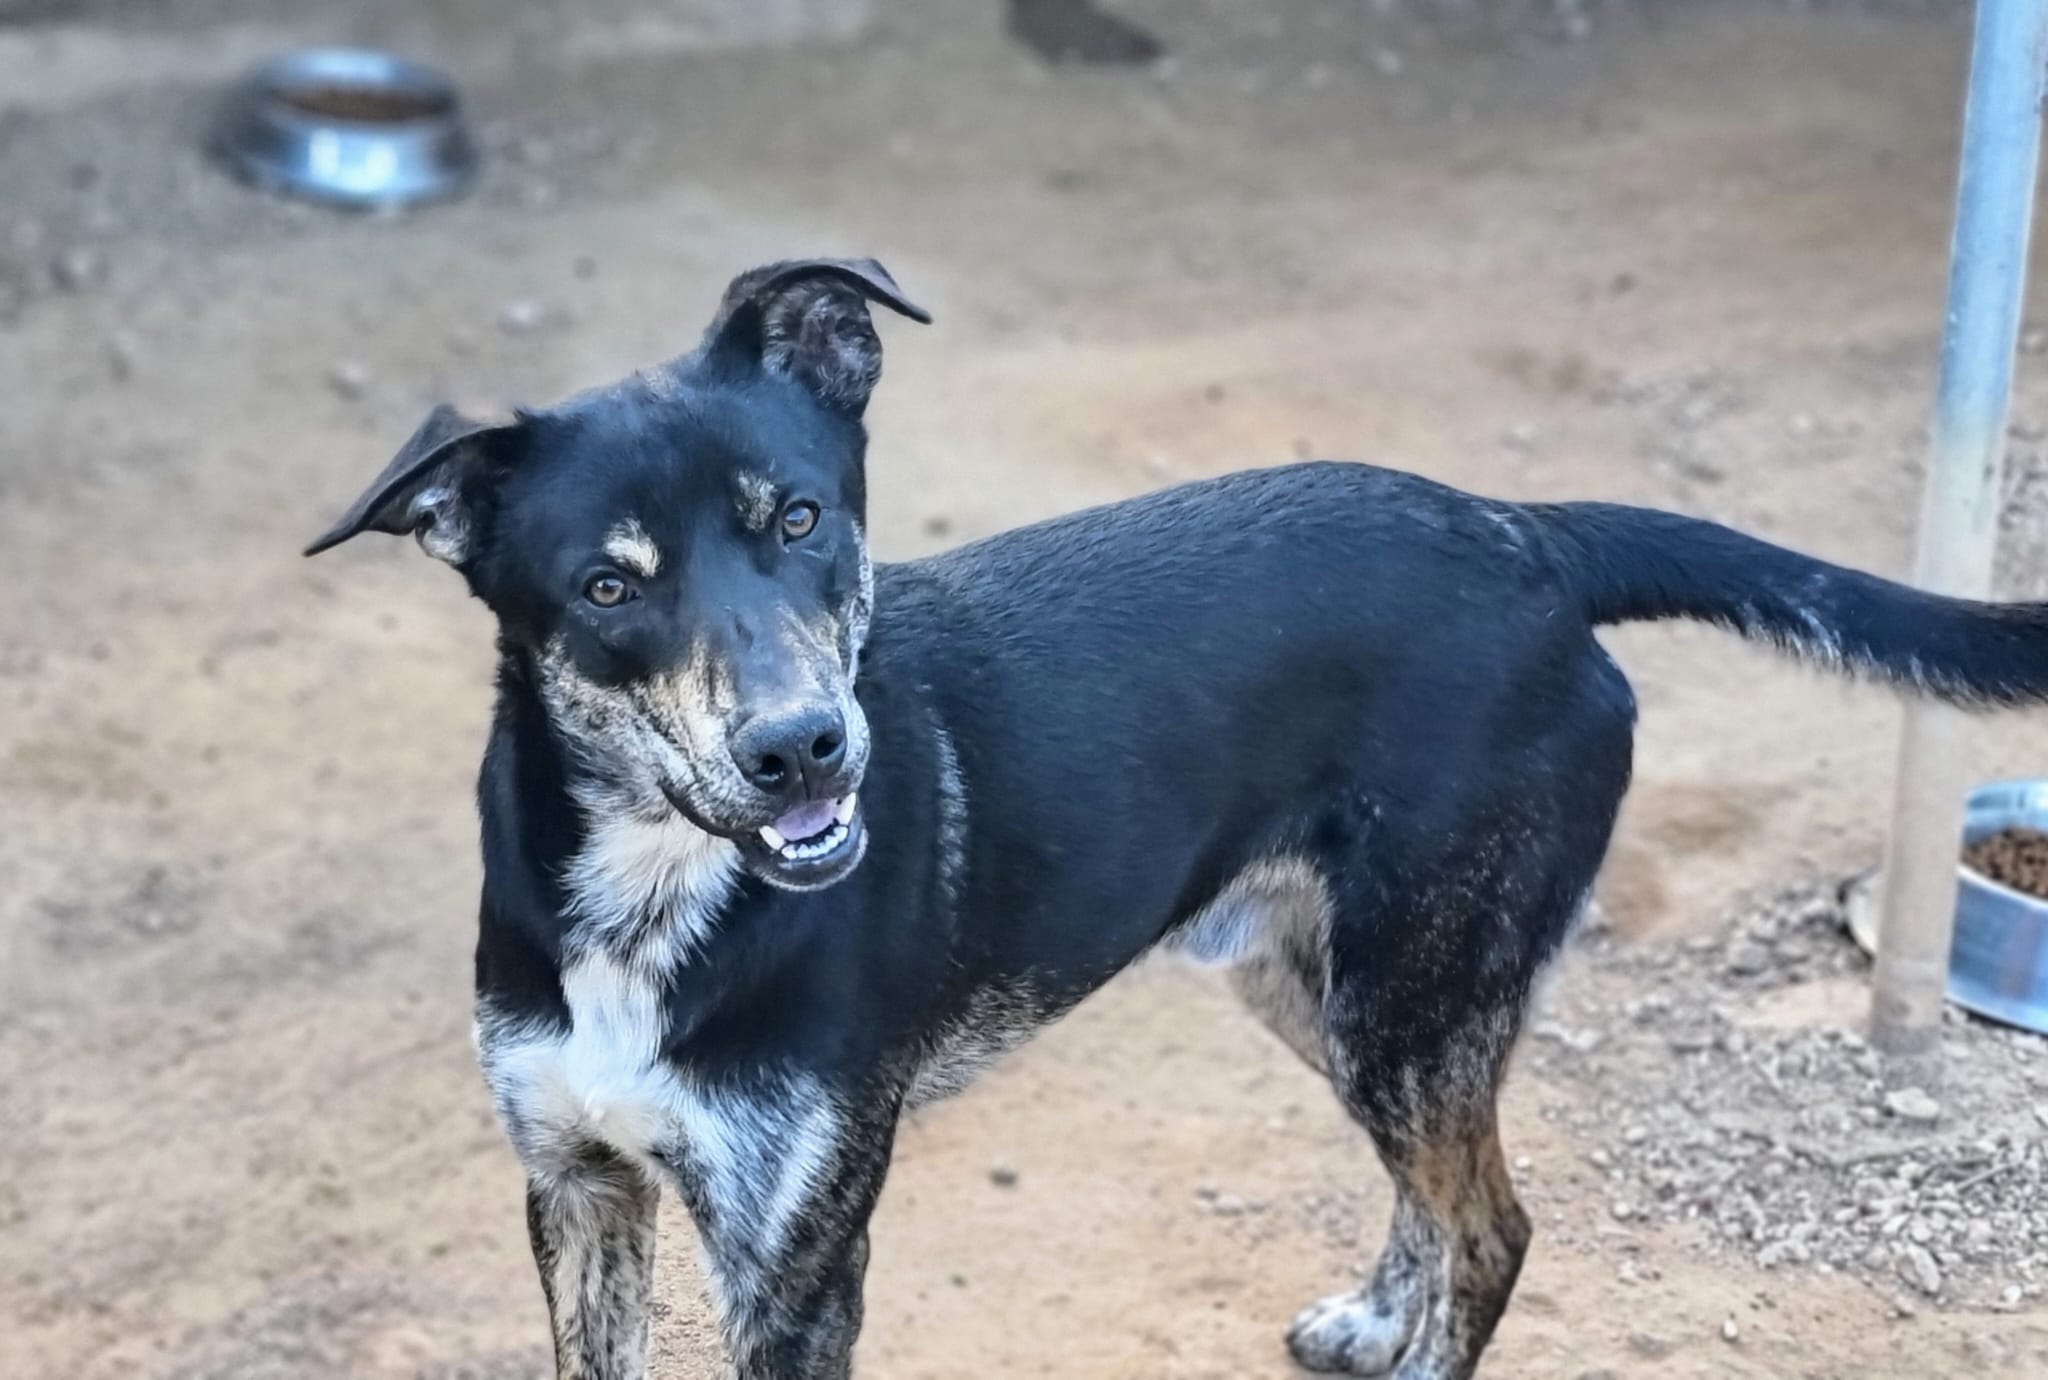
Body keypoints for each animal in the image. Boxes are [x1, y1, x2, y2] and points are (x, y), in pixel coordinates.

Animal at [307, 257, 2048, 1380]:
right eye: (609, 588)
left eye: (798, 518)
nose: (806, 751)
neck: (657, 889)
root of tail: (1527, 536)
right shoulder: (576, 1186)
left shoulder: (794, 1266)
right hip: (1323, 985)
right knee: (1444, 1201)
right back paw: (1377, 1323)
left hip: (1413, 996)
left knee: (1493, 1227)